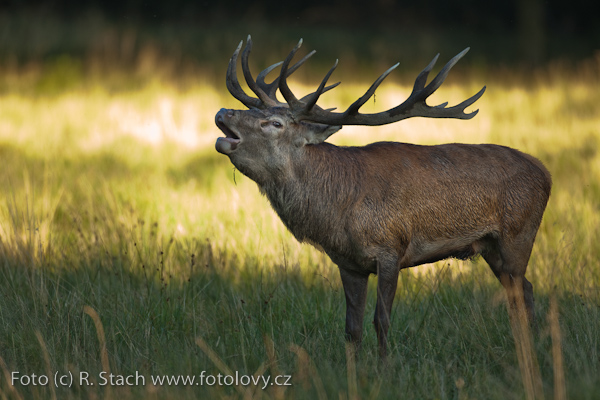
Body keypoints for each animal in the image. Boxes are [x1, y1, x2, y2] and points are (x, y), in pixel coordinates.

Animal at [213, 36, 552, 358]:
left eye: (275, 123)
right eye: (254, 110)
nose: (222, 111)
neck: (339, 211)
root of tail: (545, 172)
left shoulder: (391, 248)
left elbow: (382, 320)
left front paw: (384, 368)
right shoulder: (349, 263)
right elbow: (351, 327)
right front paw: (354, 369)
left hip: (519, 232)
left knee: (523, 290)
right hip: (490, 246)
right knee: (523, 289)